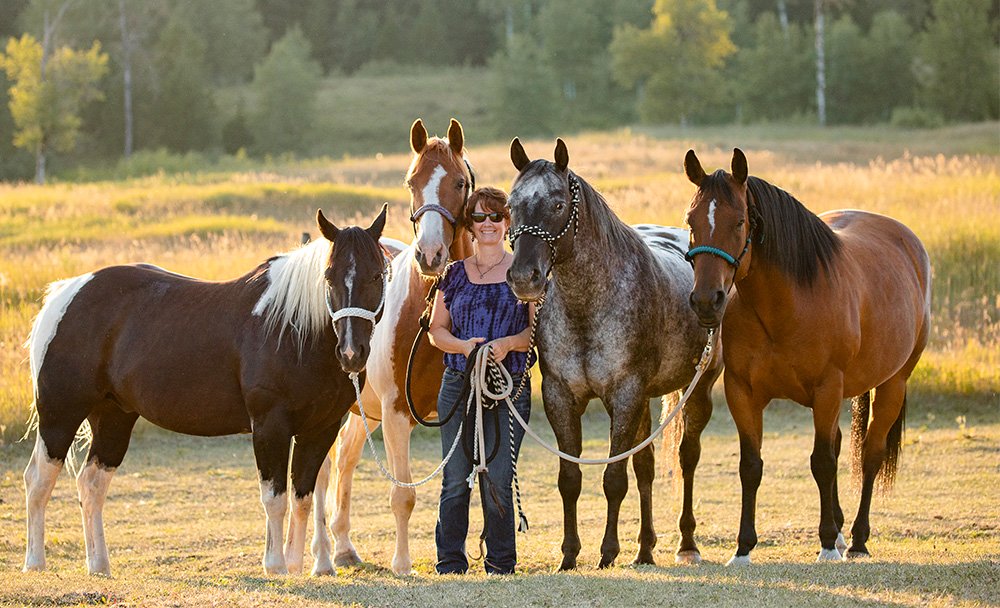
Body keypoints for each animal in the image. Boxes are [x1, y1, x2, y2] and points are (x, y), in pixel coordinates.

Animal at [21, 204, 390, 576]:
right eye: (328, 277)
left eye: (377, 276)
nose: (351, 352)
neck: (292, 329)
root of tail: (66, 293)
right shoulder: (270, 427)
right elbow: (275, 499)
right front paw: (275, 566)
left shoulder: (320, 430)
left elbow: (303, 497)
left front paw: (296, 566)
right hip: (59, 416)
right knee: (38, 480)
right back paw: (35, 562)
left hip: (113, 418)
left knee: (92, 484)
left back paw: (98, 566)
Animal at [318, 117, 478, 576]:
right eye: (412, 181)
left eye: (459, 182)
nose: (431, 254)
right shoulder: (395, 413)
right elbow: (402, 494)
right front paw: (403, 564)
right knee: (321, 474)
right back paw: (320, 554)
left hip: (362, 411)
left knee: (346, 459)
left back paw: (343, 547)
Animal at [504, 139, 724, 568]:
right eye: (510, 204)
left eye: (558, 204)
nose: (524, 277)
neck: (588, 303)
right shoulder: (561, 396)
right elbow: (571, 479)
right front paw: (569, 555)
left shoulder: (624, 395)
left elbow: (613, 479)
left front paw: (607, 553)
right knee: (646, 466)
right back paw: (645, 548)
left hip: (698, 389)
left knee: (686, 458)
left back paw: (686, 544)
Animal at [684, 148, 932, 564]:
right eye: (691, 220)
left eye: (739, 222)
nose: (706, 301)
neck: (787, 306)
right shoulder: (742, 393)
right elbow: (751, 466)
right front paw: (743, 548)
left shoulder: (827, 389)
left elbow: (823, 463)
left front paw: (827, 544)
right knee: (839, 443)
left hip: (893, 384)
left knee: (870, 454)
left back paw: (857, 540)